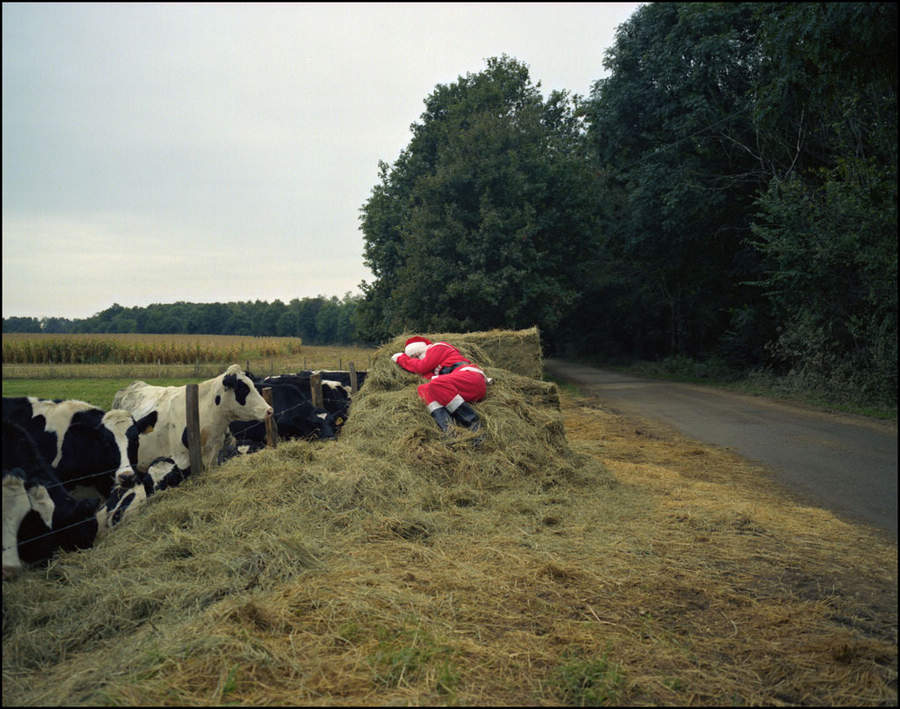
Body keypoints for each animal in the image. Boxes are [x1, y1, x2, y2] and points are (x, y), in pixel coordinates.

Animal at [110, 362, 270, 472]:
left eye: (253, 385)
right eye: (243, 389)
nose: (269, 410)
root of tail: (131, 386)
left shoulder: (212, 456)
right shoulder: (179, 460)